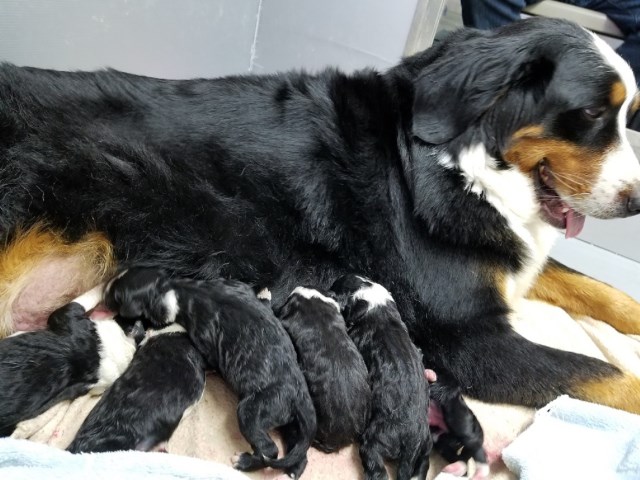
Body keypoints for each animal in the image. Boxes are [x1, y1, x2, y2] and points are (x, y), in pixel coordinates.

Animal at [103, 268, 318, 478]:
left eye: (117, 297)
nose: (104, 291)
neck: (174, 288)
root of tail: (300, 395)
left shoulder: (204, 338)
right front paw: (264, 294)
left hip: (254, 409)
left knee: (269, 451)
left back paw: (244, 461)